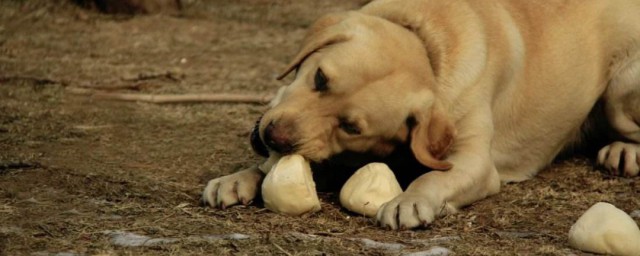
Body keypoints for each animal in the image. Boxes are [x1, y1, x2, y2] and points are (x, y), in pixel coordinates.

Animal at [201, 0, 640, 230]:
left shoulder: (475, 163)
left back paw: (622, 151)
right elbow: (272, 167)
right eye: (320, 77)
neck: (427, 40)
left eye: (351, 126)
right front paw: (239, 178)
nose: (274, 136)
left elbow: (432, 177)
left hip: (620, 91)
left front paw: (409, 200)